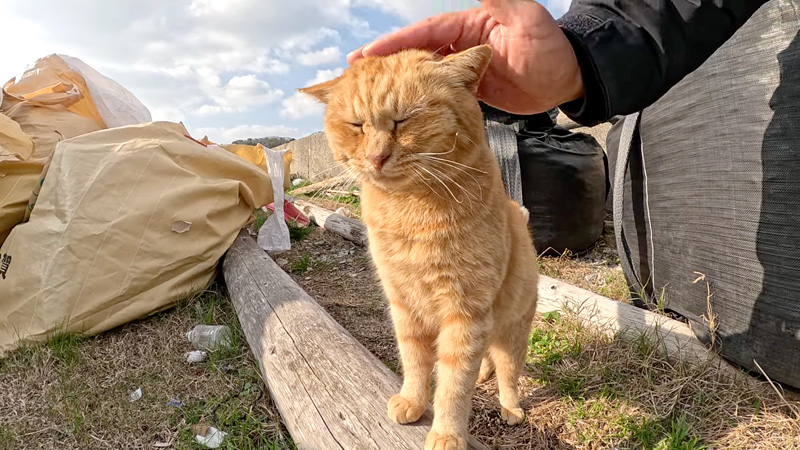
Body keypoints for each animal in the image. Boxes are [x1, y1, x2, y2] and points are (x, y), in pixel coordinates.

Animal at [300, 43, 536, 450]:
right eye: (357, 126)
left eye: (403, 120)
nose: (377, 157)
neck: (411, 210)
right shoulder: (404, 304)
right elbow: (413, 359)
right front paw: (412, 400)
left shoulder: (465, 313)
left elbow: (454, 383)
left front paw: (446, 433)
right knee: (489, 361)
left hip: (512, 330)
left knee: (508, 371)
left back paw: (510, 407)